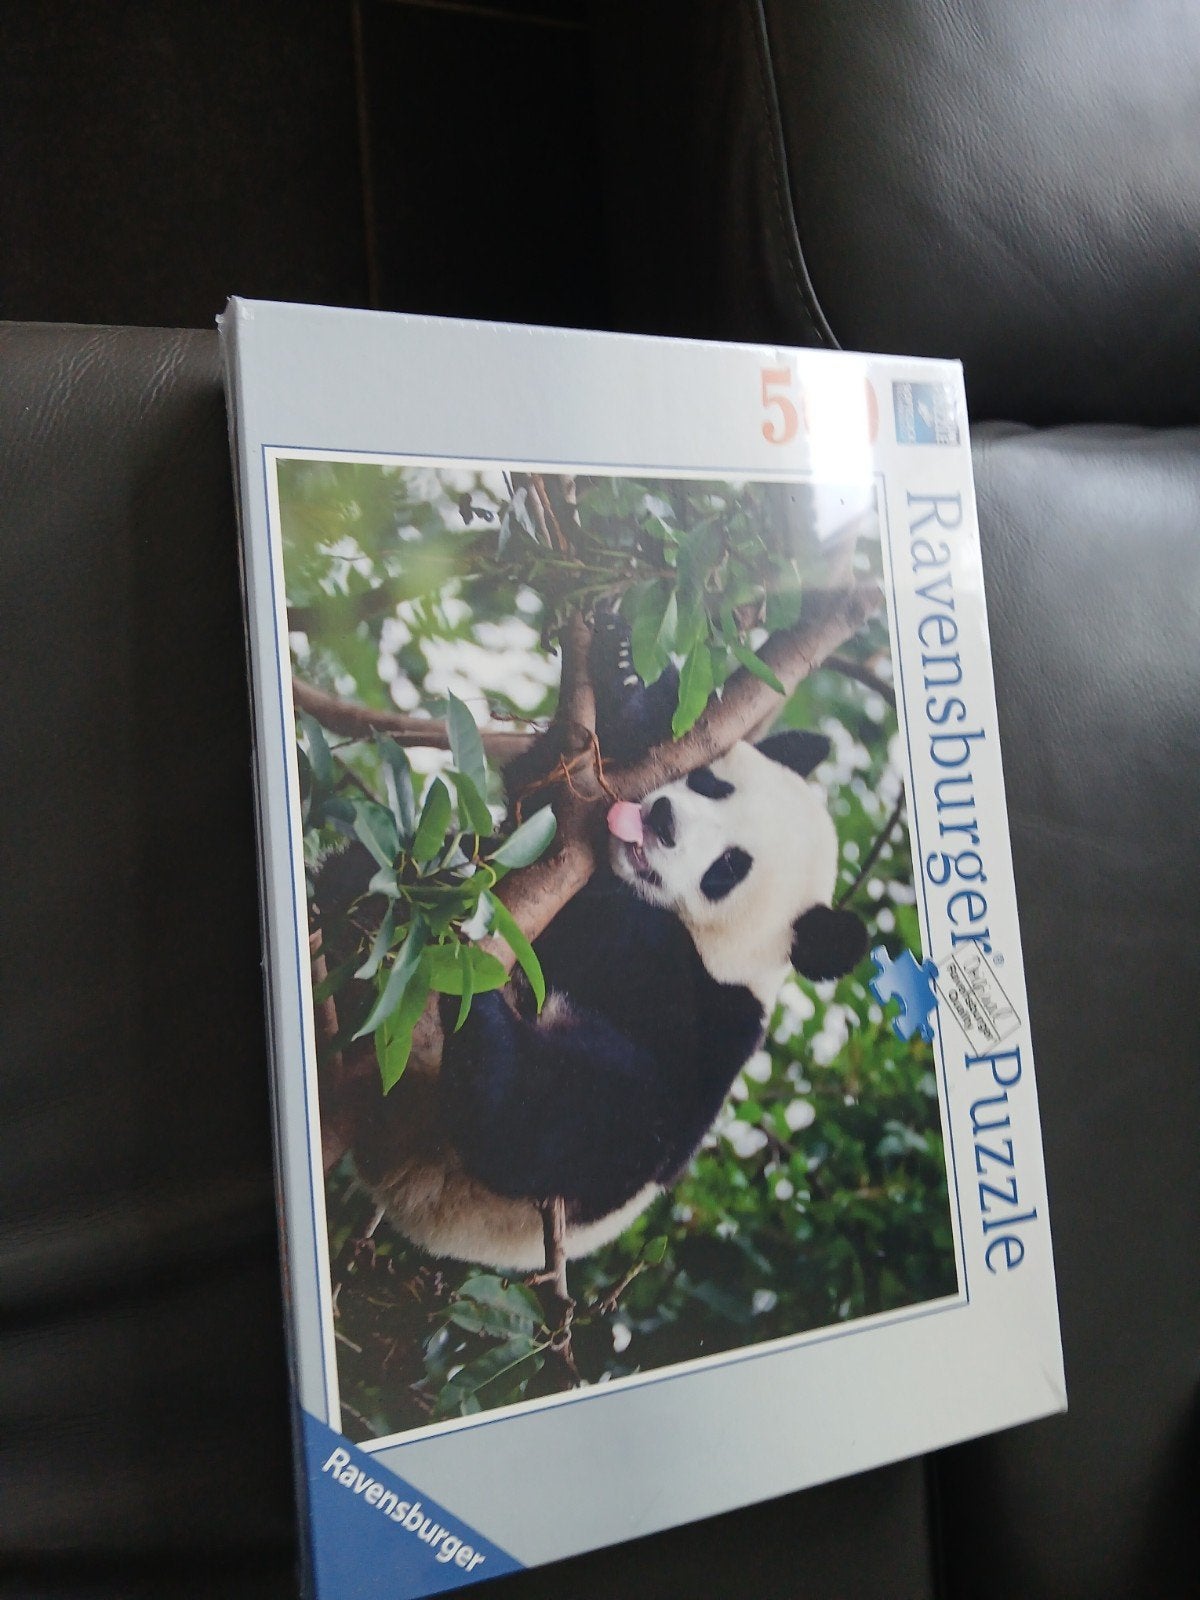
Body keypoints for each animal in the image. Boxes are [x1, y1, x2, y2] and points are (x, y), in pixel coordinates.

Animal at [344, 611, 868, 1273]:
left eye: (727, 868)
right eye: (710, 783)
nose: (663, 820)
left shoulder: (709, 1012)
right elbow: (542, 789)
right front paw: (628, 676)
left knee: (570, 1119)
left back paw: (484, 1018)